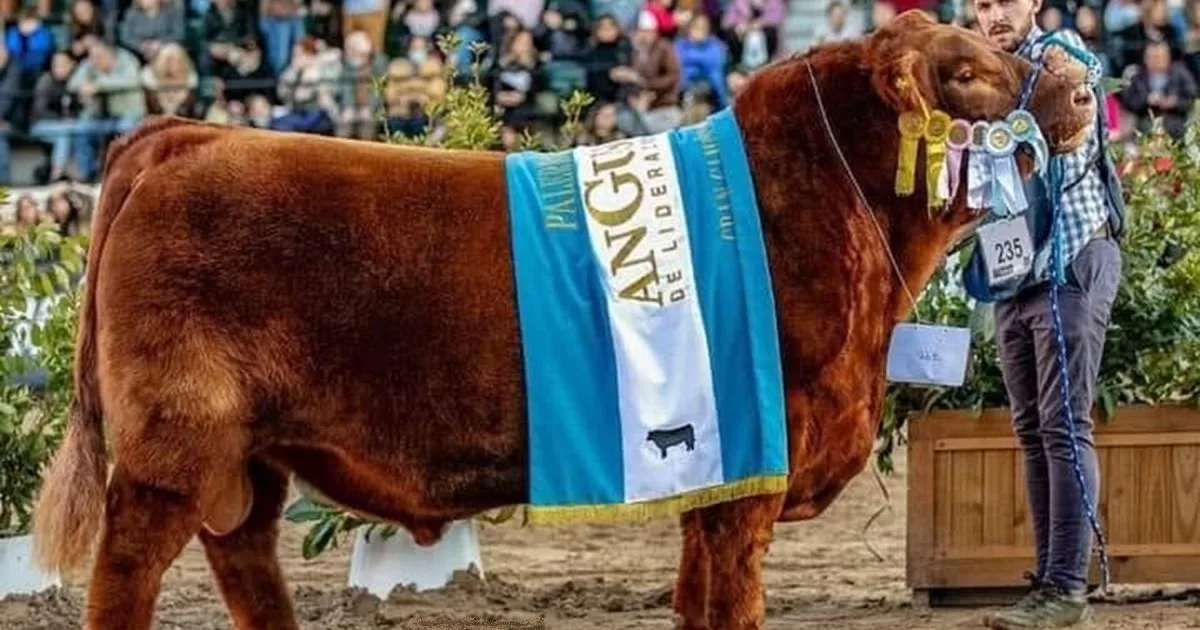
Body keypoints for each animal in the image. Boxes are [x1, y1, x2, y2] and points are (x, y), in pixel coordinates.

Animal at [30, 10, 1098, 630]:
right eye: (965, 72)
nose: (1085, 86)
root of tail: (184, 134)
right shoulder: (751, 473)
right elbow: (729, 602)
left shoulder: (713, 474)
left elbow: (696, 600)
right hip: (175, 442)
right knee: (127, 566)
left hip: (247, 456)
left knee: (244, 556)